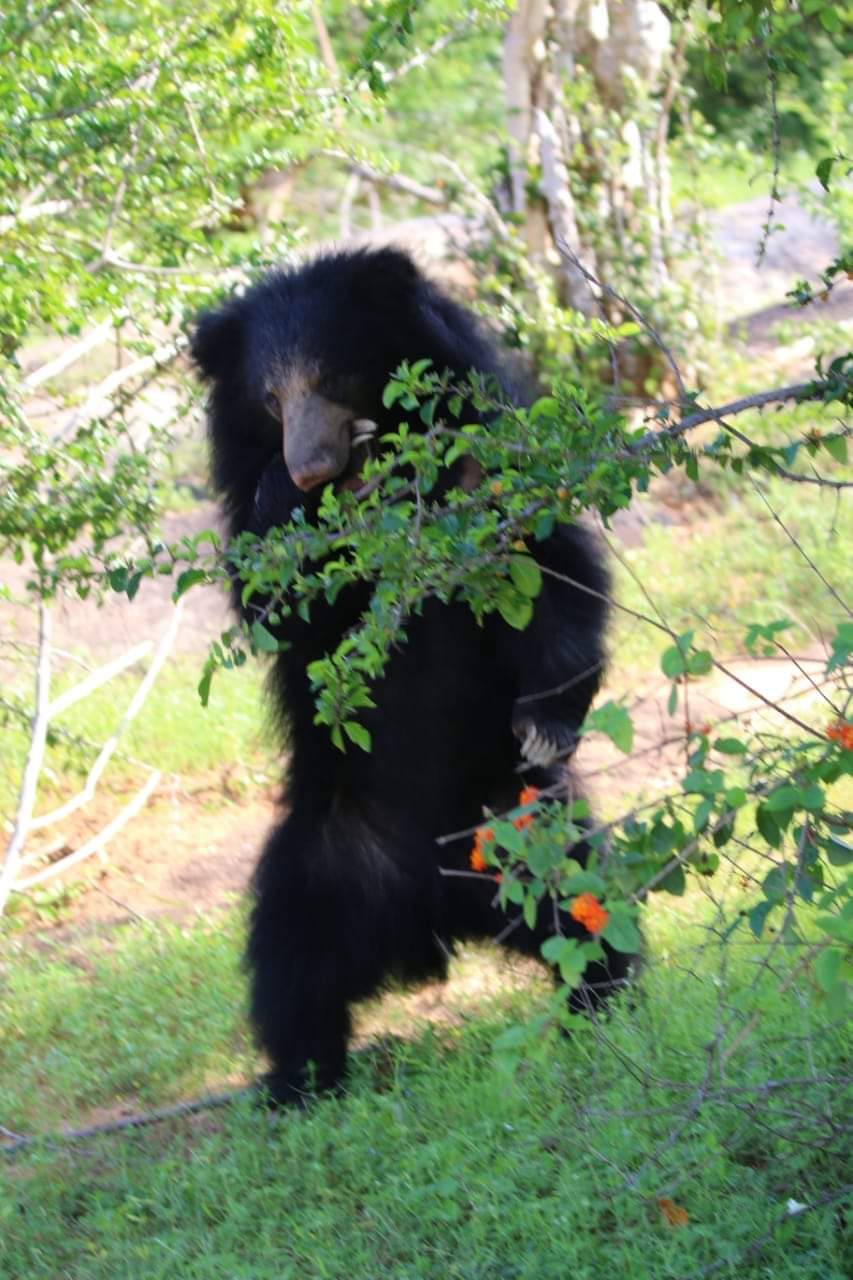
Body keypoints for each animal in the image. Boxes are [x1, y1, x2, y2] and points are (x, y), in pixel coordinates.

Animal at [191, 247, 632, 1105]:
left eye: (329, 375)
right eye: (269, 398)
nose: (310, 468)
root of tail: (433, 916)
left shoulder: (485, 462)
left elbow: (553, 567)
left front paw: (544, 723)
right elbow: (268, 600)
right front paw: (291, 507)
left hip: (526, 826)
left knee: (586, 915)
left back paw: (605, 1011)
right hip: (322, 855)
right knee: (292, 969)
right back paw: (298, 1086)